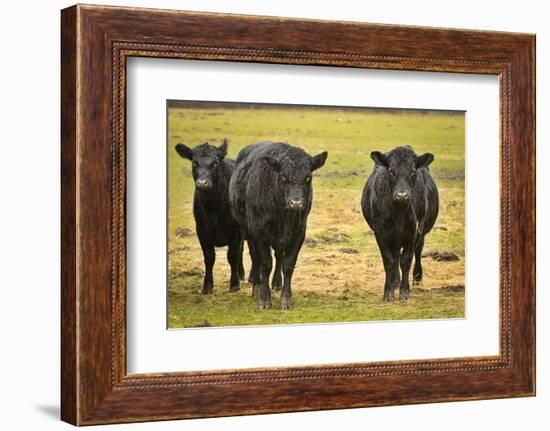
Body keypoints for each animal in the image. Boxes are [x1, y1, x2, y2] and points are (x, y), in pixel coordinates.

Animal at [176, 140, 245, 296]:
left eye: (215, 163)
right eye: (194, 163)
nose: (202, 183)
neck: (213, 207)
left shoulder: (237, 231)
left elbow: (233, 255)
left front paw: (234, 284)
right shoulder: (201, 230)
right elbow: (209, 257)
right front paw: (207, 286)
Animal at [232, 143, 330, 308]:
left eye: (308, 177)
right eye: (283, 177)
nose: (296, 203)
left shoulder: (298, 234)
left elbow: (288, 265)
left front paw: (286, 298)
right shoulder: (259, 233)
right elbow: (265, 264)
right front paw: (264, 298)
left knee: (278, 256)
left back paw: (277, 283)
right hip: (248, 231)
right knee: (255, 258)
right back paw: (256, 287)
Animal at [362, 145, 440, 300]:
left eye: (413, 170)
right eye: (391, 170)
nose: (402, 195)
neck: (399, 212)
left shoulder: (413, 231)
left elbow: (406, 260)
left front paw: (404, 292)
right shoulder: (380, 232)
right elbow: (389, 261)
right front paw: (389, 292)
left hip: (420, 233)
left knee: (417, 251)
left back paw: (417, 278)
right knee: (396, 255)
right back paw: (395, 282)